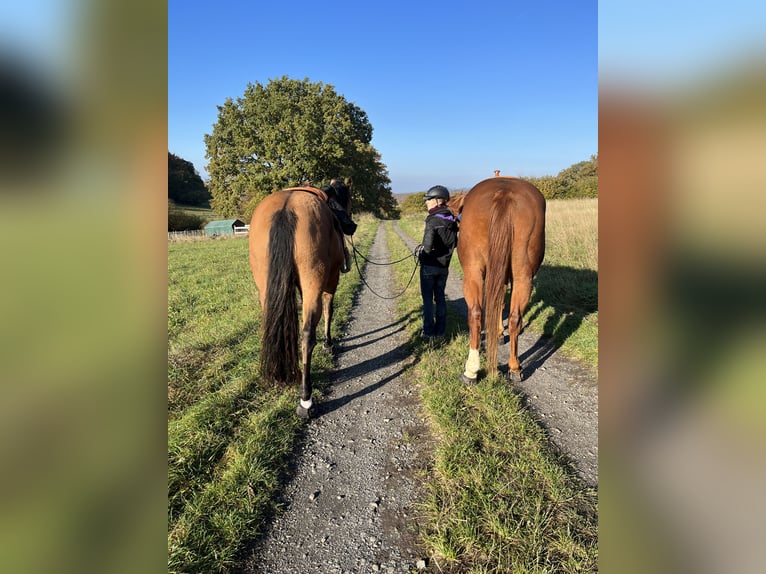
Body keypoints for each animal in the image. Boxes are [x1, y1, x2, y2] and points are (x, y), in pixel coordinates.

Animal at [249, 182, 352, 418]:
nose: (351, 224)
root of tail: (286, 210)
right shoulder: (330, 282)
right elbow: (329, 310)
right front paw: (328, 344)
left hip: (266, 289)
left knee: (272, 328)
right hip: (314, 282)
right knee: (306, 336)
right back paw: (306, 399)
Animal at [449, 177, 546, 383]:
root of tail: (504, 193)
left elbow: (497, 303)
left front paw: (499, 333)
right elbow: (499, 303)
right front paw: (500, 333)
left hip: (474, 272)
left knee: (476, 312)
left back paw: (472, 370)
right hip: (521, 275)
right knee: (512, 316)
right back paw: (513, 368)